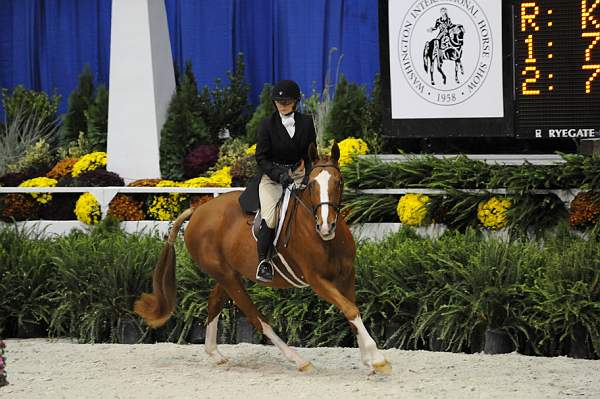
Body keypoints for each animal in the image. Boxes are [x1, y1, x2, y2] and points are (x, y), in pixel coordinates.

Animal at [134, 142, 392, 374]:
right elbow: (349, 309)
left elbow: (353, 311)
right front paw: (378, 359)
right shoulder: (318, 281)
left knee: (214, 303)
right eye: (311, 185)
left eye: (339, 182)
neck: (325, 239)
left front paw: (368, 360)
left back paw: (215, 354)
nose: (326, 226)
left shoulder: (346, 275)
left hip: (227, 274)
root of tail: (198, 211)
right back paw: (299, 361)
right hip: (228, 277)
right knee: (256, 318)